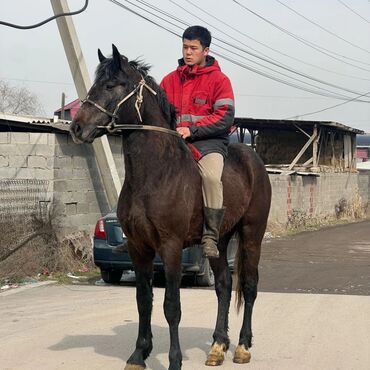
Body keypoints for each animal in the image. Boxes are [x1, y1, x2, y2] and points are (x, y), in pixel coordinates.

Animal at [70, 44, 272, 368]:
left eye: (112, 85)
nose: (77, 127)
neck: (154, 174)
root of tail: (254, 159)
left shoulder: (171, 247)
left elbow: (171, 306)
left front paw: (175, 360)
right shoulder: (139, 248)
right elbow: (143, 302)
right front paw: (138, 354)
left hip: (252, 234)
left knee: (250, 286)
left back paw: (242, 346)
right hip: (219, 241)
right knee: (223, 285)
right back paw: (218, 345)